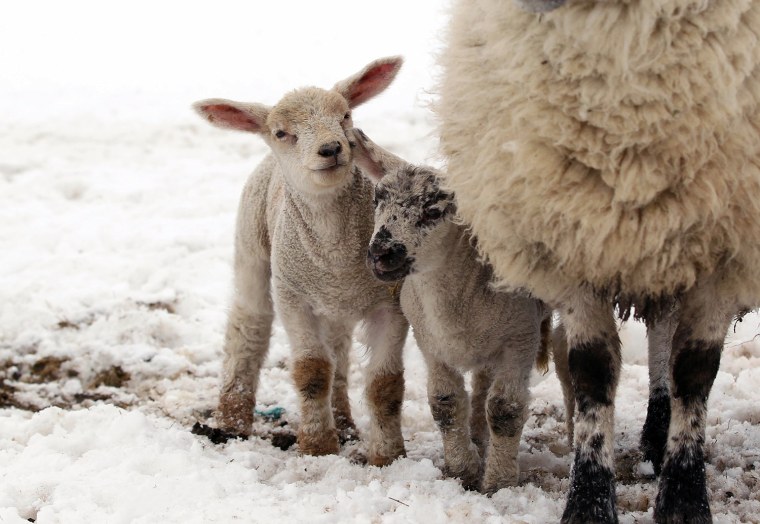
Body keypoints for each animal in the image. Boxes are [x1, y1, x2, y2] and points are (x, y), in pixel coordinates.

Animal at [192, 57, 410, 465]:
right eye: (281, 133)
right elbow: (312, 373)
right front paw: (317, 447)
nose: (331, 148)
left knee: (339, 354)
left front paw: (388, 457)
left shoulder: (391, 300)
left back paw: (344, 423)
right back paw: (231, 420)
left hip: (335, 306)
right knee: (248, 327)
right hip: (252, 247)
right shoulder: (292, 296)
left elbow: (384, 385)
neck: (336, 251)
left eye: (345, 116)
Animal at [348, 128, 574, 493]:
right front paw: (462, 470)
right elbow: (445, 403)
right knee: (482, 384)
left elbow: (506, 409)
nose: (381, 253)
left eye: (433, 211)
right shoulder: (430, 341)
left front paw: (499, 482)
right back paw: (479, 437)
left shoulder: (520, 338)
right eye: (376, 200)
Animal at [436, 1, 760, 522]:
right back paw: (654, 437)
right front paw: (588, 501)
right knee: (660, 333)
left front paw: (684, 498)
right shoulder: (577, 247)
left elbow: (694, 371)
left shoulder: (725, 255)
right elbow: (592, 370)